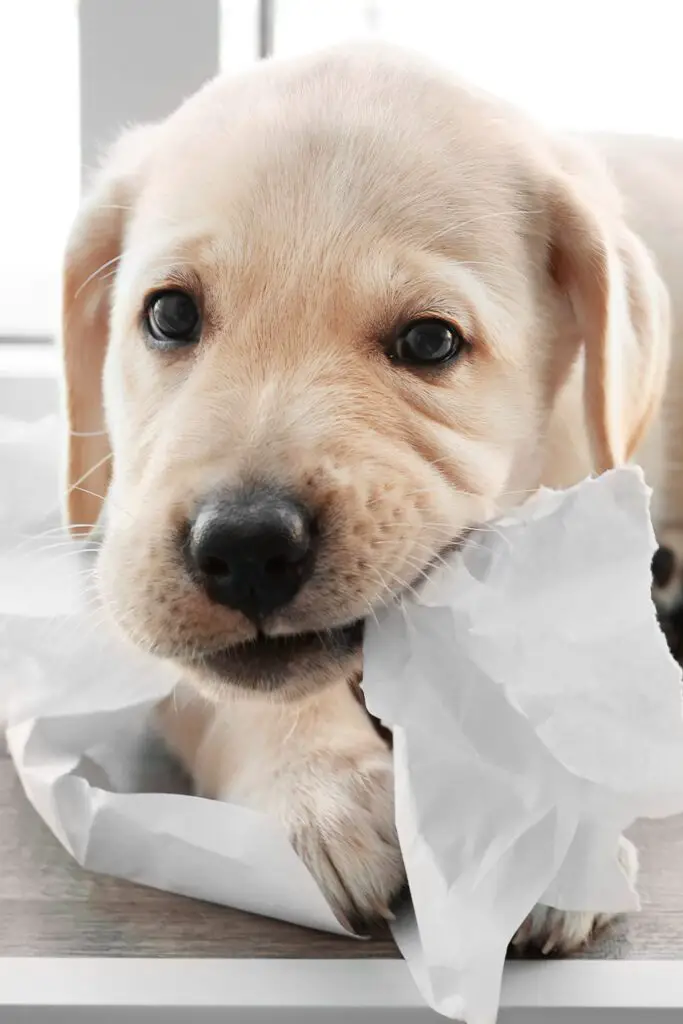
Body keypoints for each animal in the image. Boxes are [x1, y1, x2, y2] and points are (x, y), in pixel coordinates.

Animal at [61, 41, 679, 950]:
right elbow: (217, 688)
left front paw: (534, 820)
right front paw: (318, 782)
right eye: (169, 315)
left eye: (429, 341)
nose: (245, 547)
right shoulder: (128, 571)